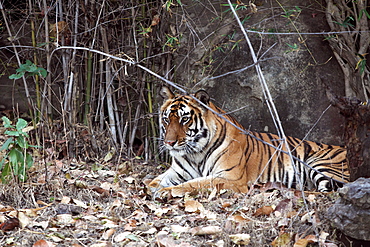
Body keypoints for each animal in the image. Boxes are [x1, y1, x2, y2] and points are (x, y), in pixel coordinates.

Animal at [148, 87, 350, 197]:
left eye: (184, 119)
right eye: (166, 119)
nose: (169, 142)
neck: (195, 153)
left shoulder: (230, 178)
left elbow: (194, 184)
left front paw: (165, 192)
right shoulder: (175, 173)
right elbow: (154, 181)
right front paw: (149, 188)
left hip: (320, 163)